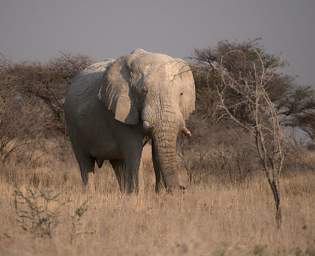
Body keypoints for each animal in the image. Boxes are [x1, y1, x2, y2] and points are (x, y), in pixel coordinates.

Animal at [65, 48, 195, 193]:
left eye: (181, 94)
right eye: (144, 91)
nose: (182, 188)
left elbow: (156, 151)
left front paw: (159, 195)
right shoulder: (120, 111)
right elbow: (134, 150)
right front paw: (138, 196)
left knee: (118, 163)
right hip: (73, 127)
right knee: (85, 163)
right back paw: (91, 194)